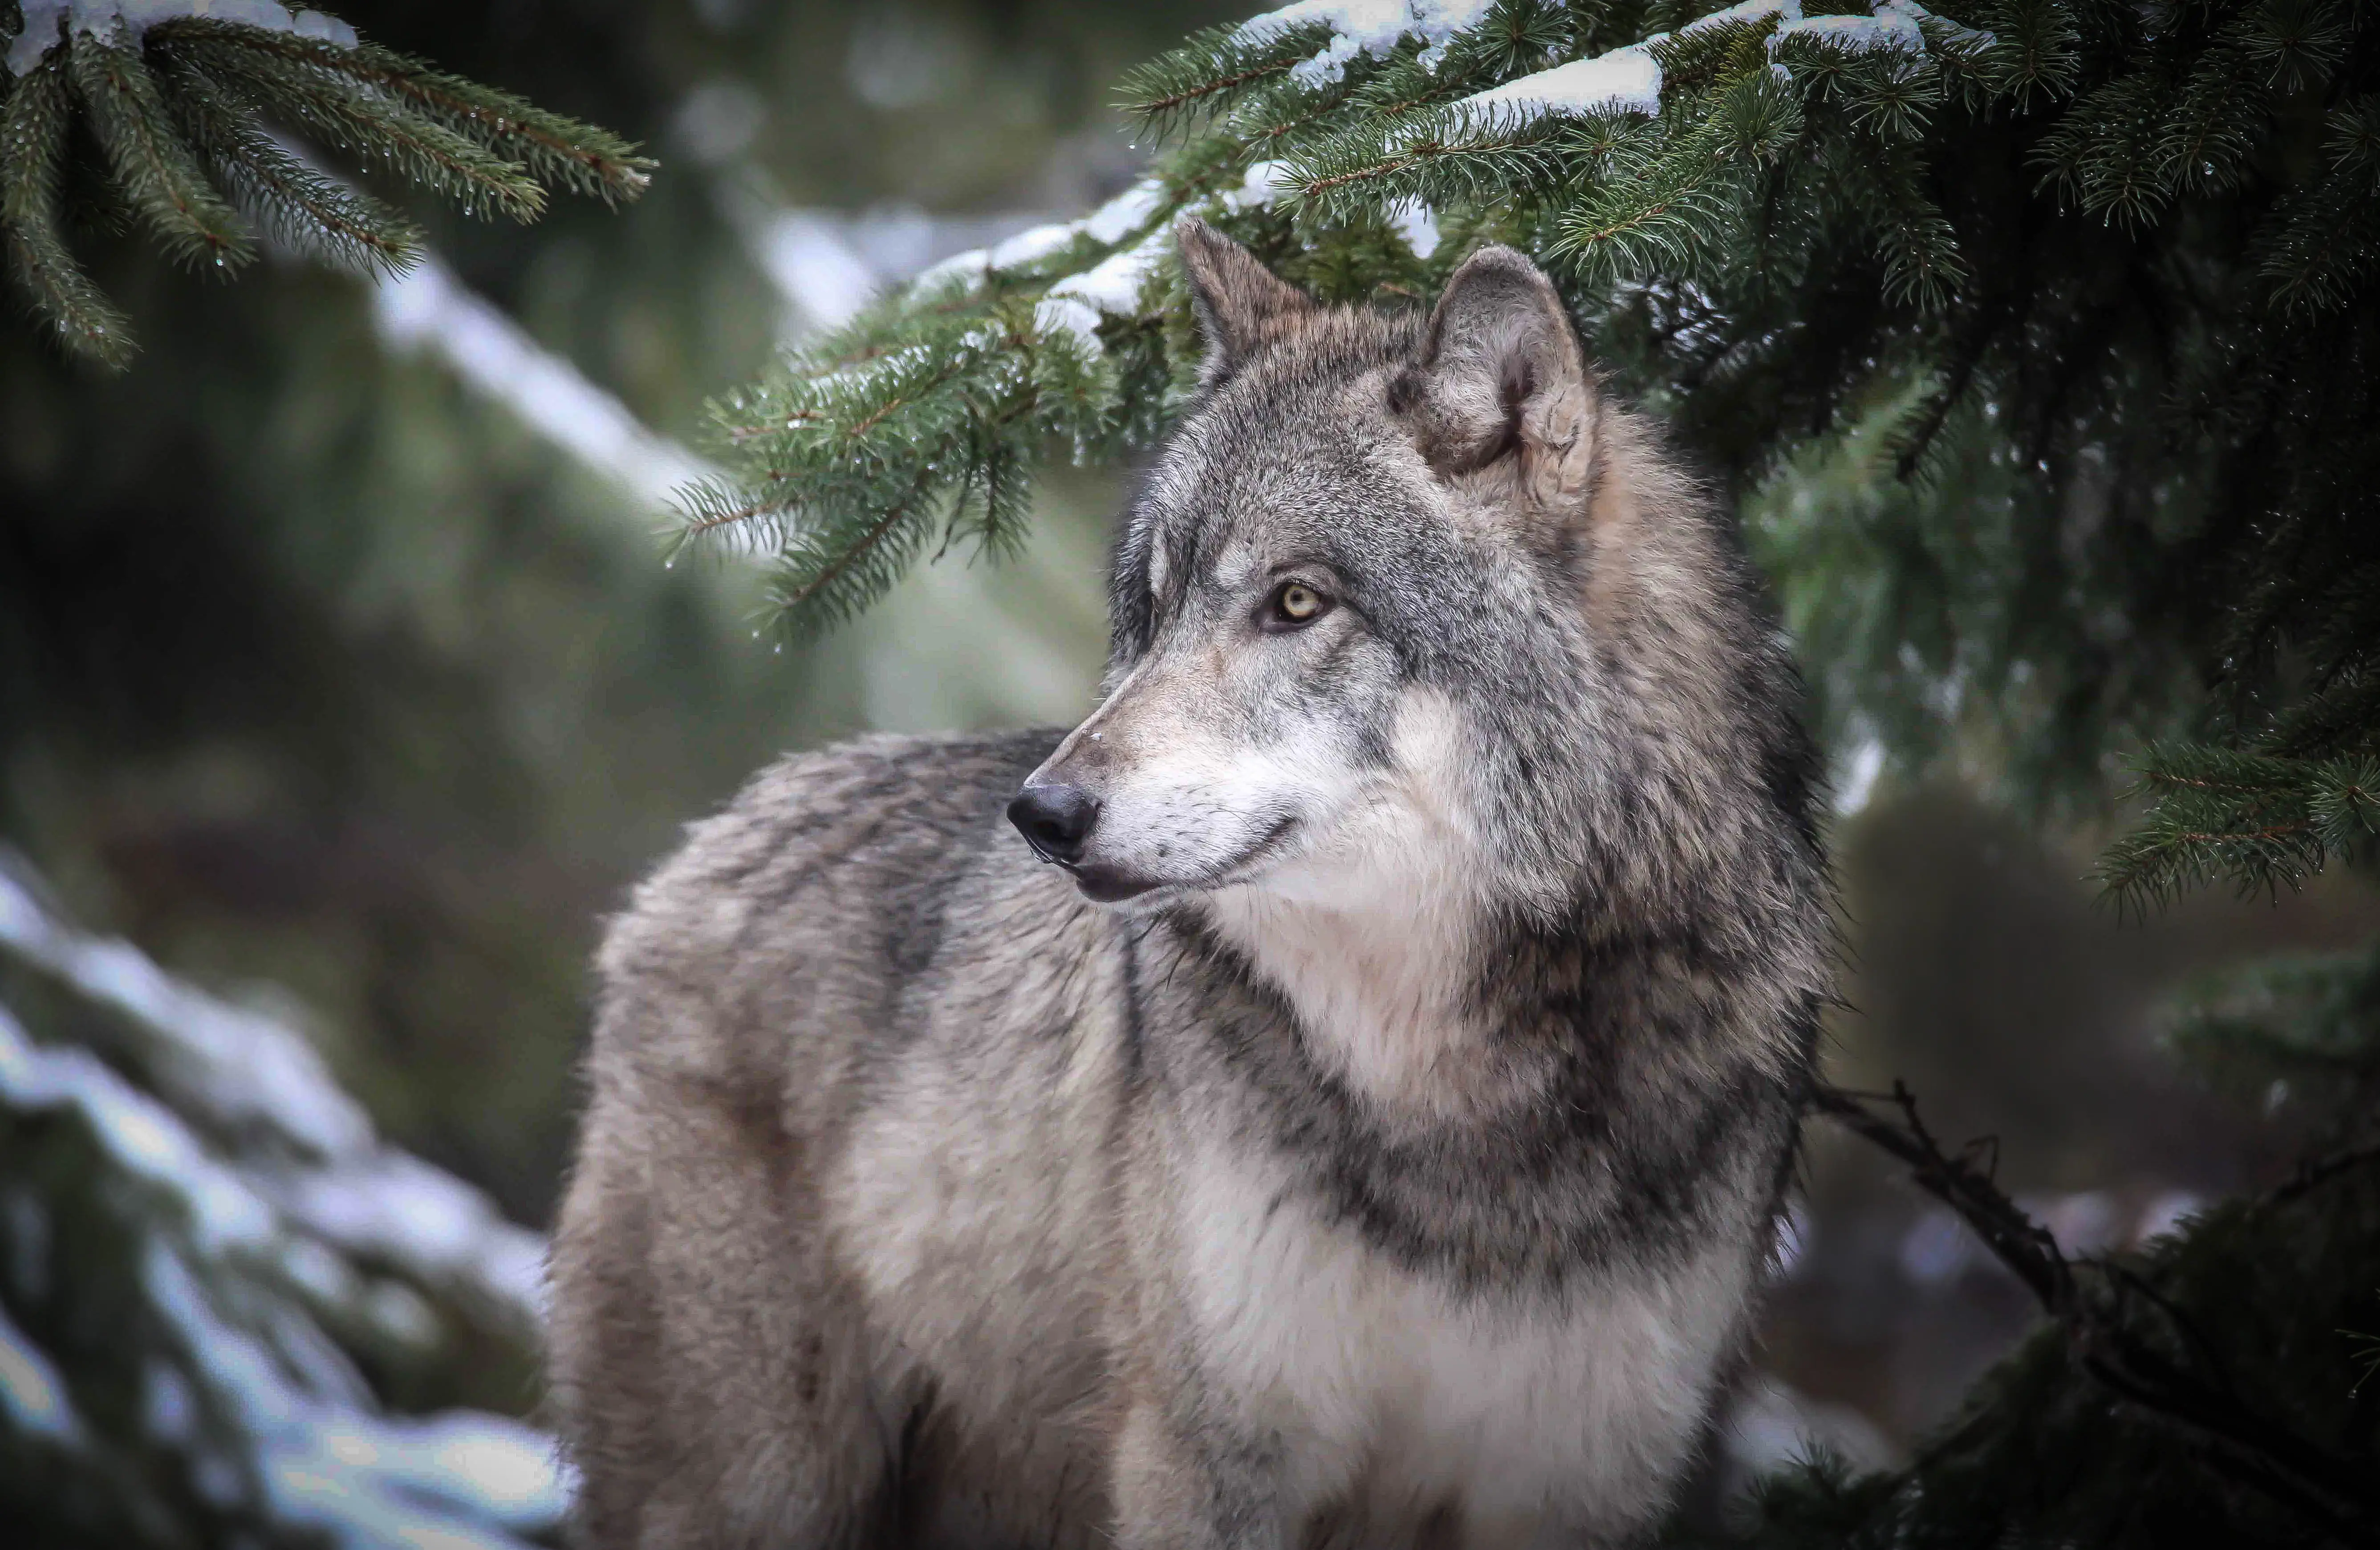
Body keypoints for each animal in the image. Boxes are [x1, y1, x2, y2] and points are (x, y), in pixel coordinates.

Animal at [548, 221, 1832, 1550]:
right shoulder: (1208, 1457)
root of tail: (705, 842)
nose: (1043, 816)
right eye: (1155, 609)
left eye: (1297, 601)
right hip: (759, 1484)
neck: (1456, 1114)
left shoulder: (1577, 1484)